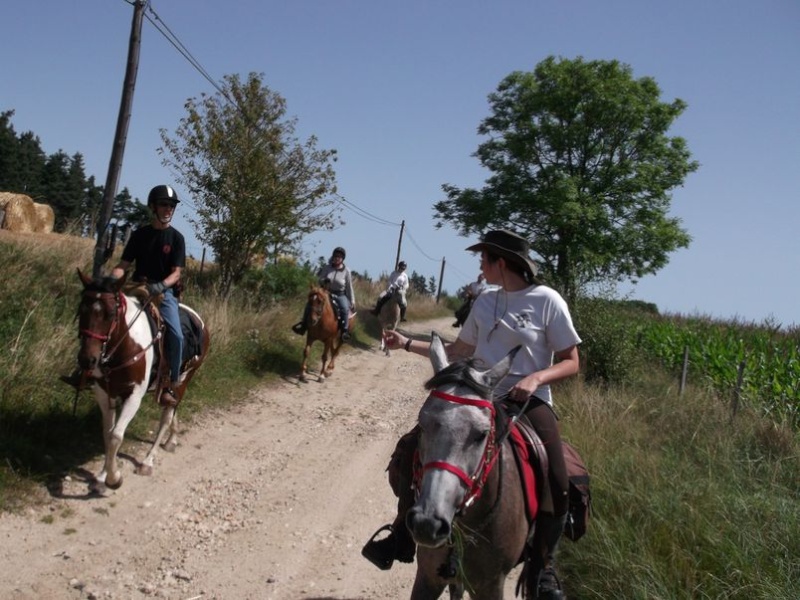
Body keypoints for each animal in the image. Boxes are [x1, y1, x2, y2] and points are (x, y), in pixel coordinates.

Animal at [74, 270, 209, 494]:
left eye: (111, 313)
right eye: (81, 309)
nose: (87, 360)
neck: (125, 344)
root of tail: (198, 319)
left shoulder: (134, 396)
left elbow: (116, 436)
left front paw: (114, 478)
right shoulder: (104, 393)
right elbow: (107, 434)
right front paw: (101, 476)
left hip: (185, 378)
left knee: (166, 417)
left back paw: (148, 461)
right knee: (172, 407)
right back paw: (172, 439)